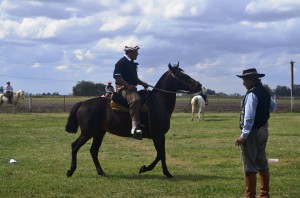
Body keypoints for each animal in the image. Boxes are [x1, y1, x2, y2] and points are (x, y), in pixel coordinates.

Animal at [65, 63, 202, 178]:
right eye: (182, 75)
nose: (199, 85)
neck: (158, 102)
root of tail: (83, 103)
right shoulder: (158, 135)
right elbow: (161, 154)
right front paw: (151, 170)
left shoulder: (158, 136)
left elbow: (160, 154)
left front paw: (156, 170)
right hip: (87, 133)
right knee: (75, 146)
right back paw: (70, 170)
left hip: (98, 133)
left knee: (93, 151)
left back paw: (101, 172)